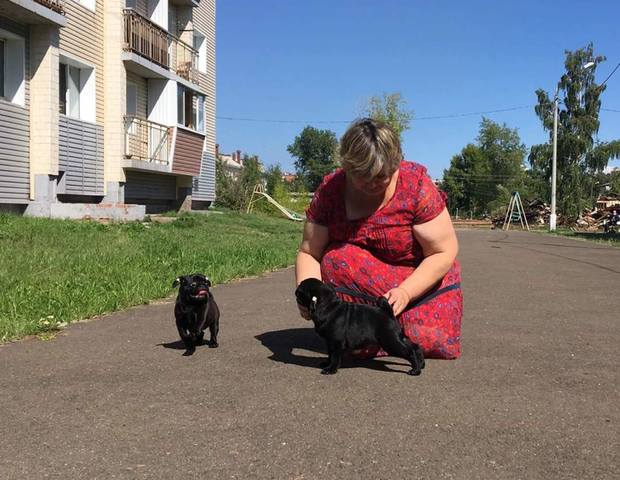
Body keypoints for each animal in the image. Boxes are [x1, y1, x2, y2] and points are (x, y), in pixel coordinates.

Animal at [294, 278, 424, 376]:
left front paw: (330, 369)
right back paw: (421, 364)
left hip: (390, 342)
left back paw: (415, 370)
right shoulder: (330, 342)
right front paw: (326, 363)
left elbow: (335, 357)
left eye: (300, 291)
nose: (295, 291)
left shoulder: (336, 343)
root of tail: (388, 313)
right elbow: (330, 355)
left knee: (410, 351)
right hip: (396, 339)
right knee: (415, 346)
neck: (328, 305)